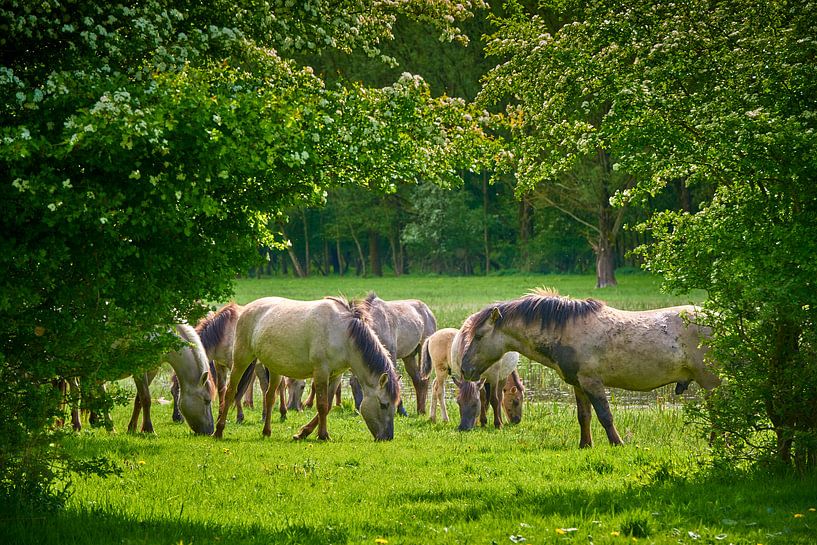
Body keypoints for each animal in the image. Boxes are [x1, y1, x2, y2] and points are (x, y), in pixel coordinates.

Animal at [213, 296, 401, 441]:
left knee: (269, 397)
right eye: (384, 404)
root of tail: (246, 309)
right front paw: (323, 435)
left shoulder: (336, 376)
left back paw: (267, 431)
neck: (343, 334)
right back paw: (219, 430)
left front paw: (302, 433)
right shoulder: (321, 372)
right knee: (230, 392)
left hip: (274, 368)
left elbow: (328, 405)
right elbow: (322, 405)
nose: (387, 437)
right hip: (241, 359)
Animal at [457, 289, 721, 448]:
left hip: (711, 381)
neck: (565, 330)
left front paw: (617, 443)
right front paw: (585, 445)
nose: (465, 368)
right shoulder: (578, 384)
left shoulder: (592, 381)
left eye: (479, 335)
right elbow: (584, 416)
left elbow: (605, 415)